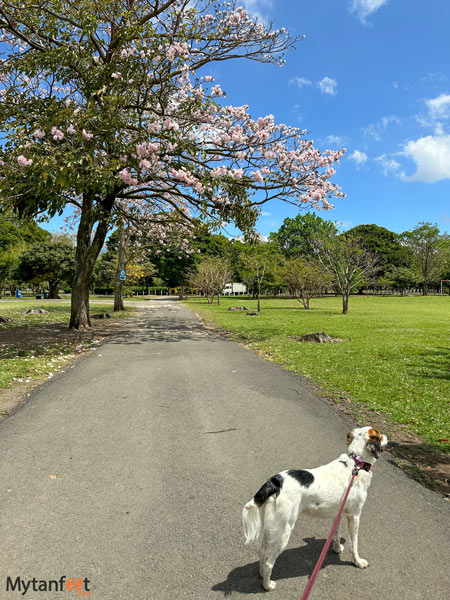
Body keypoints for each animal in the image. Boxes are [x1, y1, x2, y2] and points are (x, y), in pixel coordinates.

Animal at [243, 426, 386, 592]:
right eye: (380, 434)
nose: (387, 437)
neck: (357, 462)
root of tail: (274, 482)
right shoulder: (354, 516)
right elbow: (354, 543)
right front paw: (358, 561)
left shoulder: (338, 513)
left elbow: (336, 533)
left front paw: (337, 548)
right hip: (282, 533)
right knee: (268, 562)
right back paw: (267, 585)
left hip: (272, 530)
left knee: (262, 552)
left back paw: (261, 574)